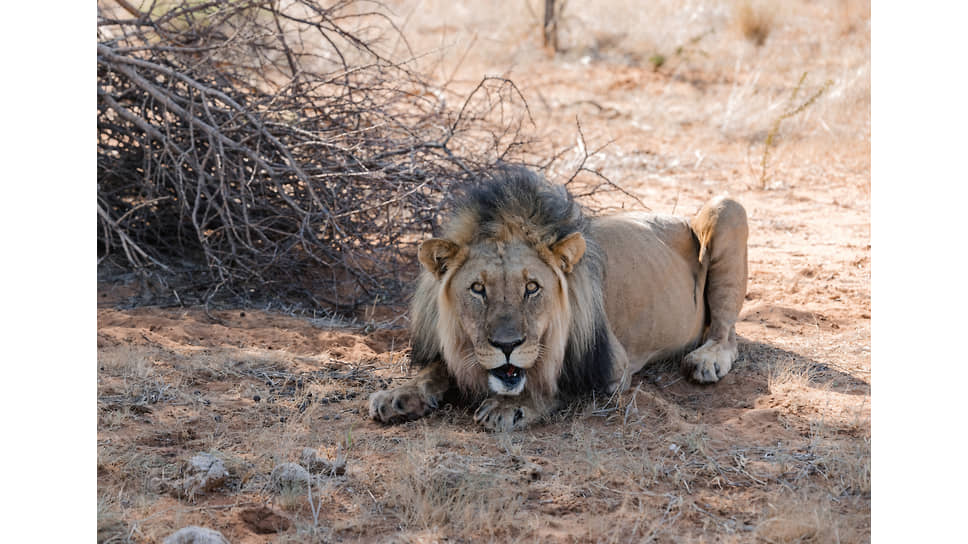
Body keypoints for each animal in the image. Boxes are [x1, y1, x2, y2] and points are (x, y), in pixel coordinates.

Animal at [370, 166, 748, 430]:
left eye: (532, 287)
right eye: (478, 289)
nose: (506, 345)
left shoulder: (611, 369)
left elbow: (555, 384)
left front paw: (509, 407)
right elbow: (435, 371)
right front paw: (399, 396)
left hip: (727, 208)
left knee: (726, 333)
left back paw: (707, 360)